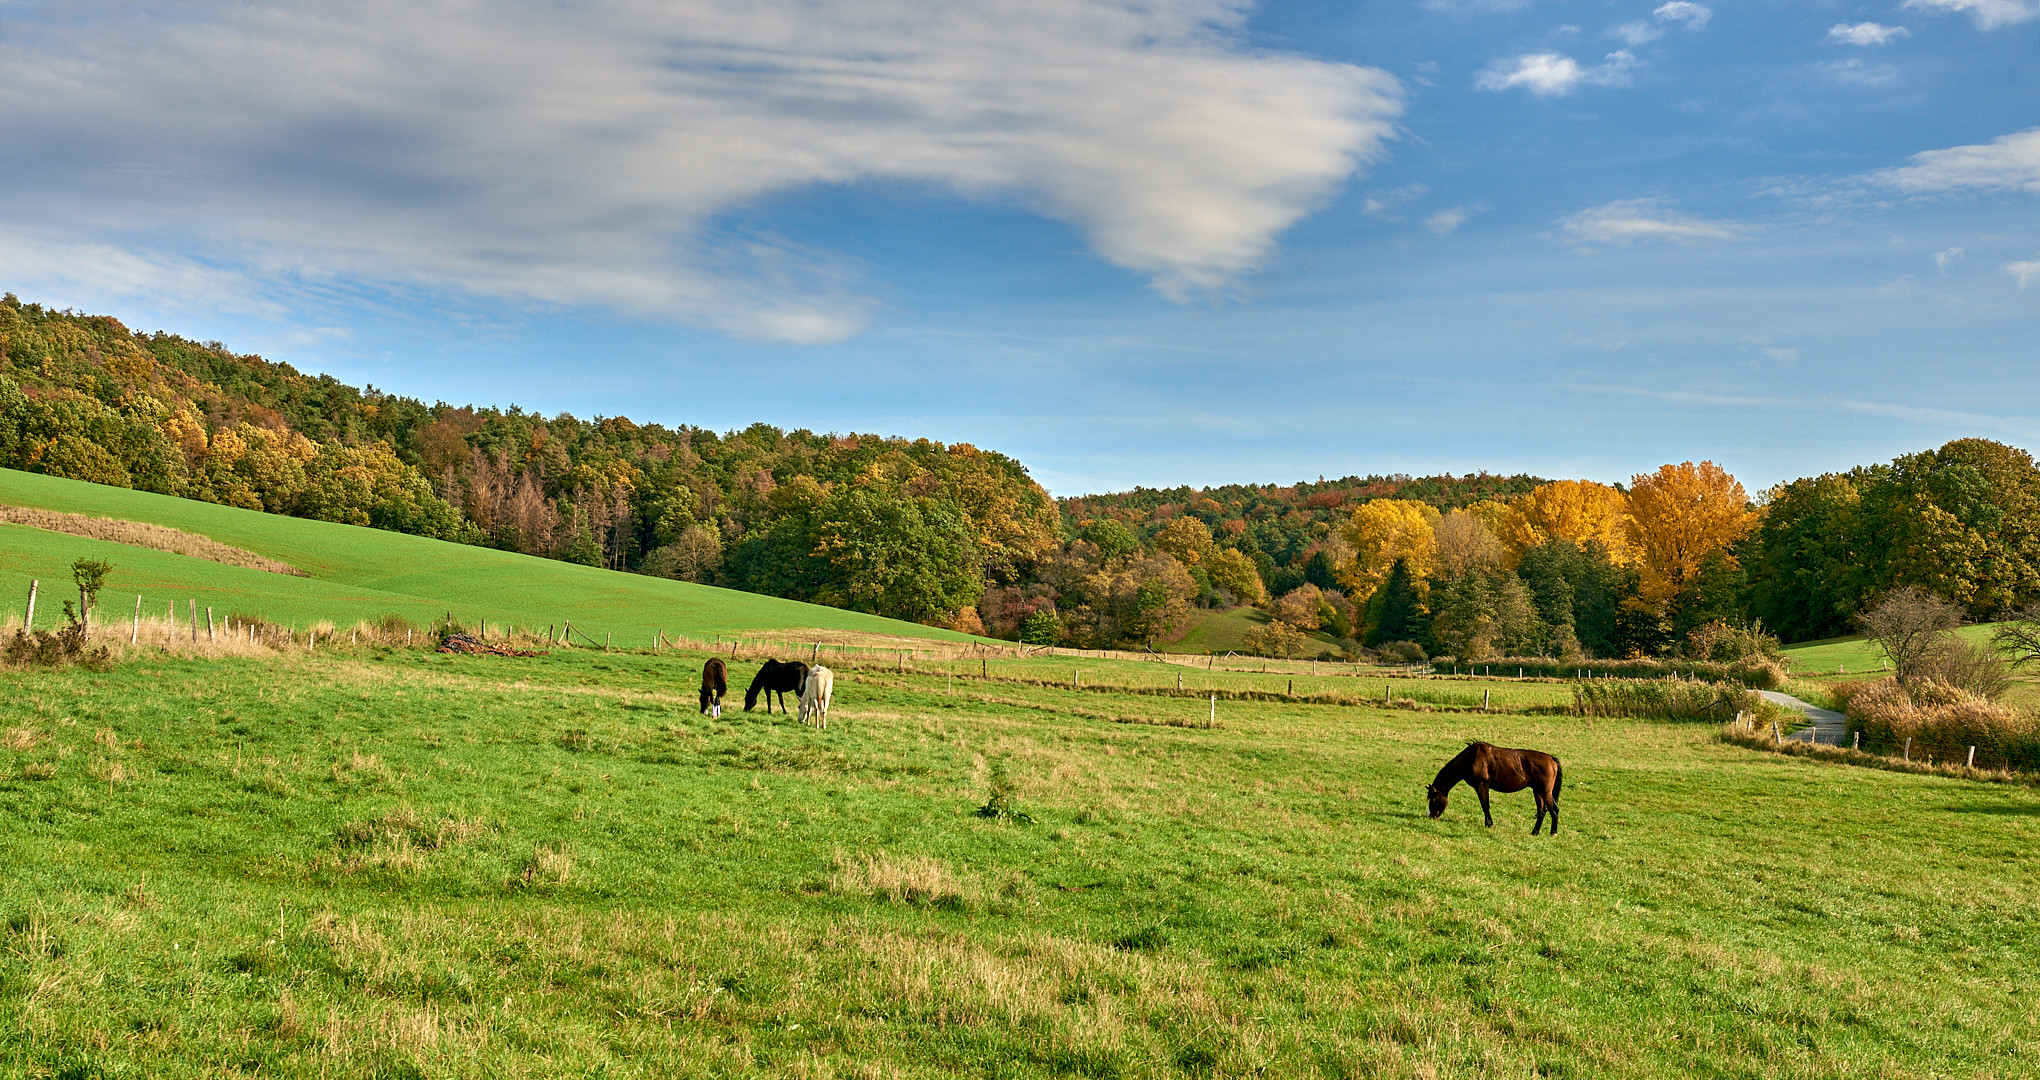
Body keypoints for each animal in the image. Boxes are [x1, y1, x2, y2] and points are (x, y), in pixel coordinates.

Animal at [1428, 743, 1566, 832]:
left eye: (1433, 799)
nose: (1431, 817)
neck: (1471, 758)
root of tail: (1552, 759)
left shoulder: (1482, 785)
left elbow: (1485, 805)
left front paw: (1488, 824)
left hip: (1545, 791)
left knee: (1554, 810)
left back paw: (1553, 833)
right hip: (1537, 791)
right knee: (1542, 811)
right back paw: (1534, 832)